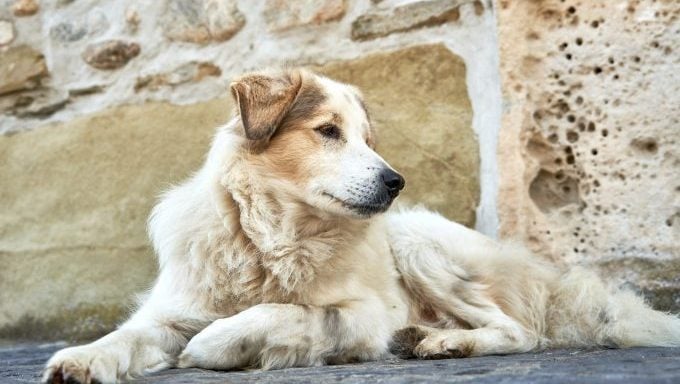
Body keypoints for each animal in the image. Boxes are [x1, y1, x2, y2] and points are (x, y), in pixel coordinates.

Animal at [42, 67, 680, 382]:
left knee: (521, 332)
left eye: (369, 140)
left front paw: (212, 347)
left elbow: (286, 312)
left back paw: (444, 341)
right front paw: (81, 360)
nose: (396, 181)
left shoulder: (362, 316)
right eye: (328, 131)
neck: (272, 241)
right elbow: (123, 337)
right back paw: (424, 338)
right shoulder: (167, 313)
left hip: (418, 240)